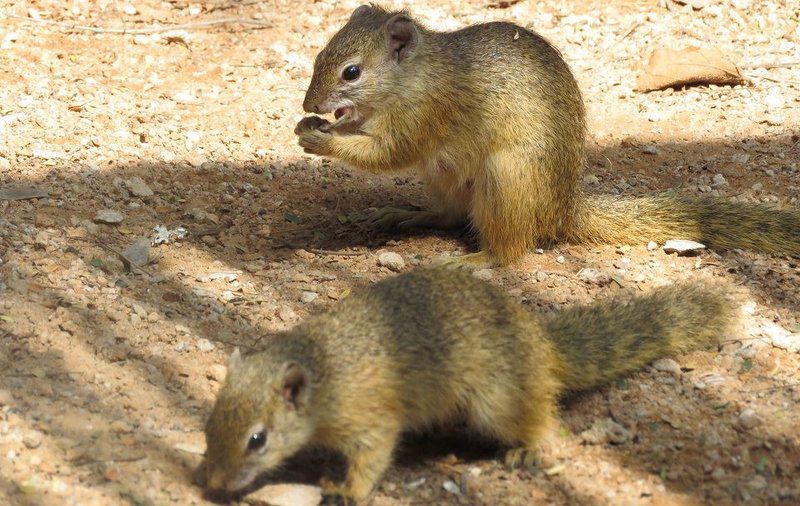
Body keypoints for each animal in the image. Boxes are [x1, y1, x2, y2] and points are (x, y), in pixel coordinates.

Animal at [202, 266, 736, 504]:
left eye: (257, 440)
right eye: (209, 426)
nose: (211, 485)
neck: (325, 370)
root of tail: (541, 343)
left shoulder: (370, 419)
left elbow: (371, 459)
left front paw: (347, 490)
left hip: (495, 401)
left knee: (541, 418)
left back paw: (527, 448)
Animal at [296, 5, 800, 266]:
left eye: (352, 72)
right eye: (319, 55)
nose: (307, 106)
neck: (416, 74)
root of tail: (562, 211)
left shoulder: (428, 114)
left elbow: (388, 152)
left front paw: (322, 138)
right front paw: (317, 127)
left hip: (506, 178)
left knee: (509, 249)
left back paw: (473, 259)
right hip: (445, 180)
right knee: (448, 215)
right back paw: (406, 214)